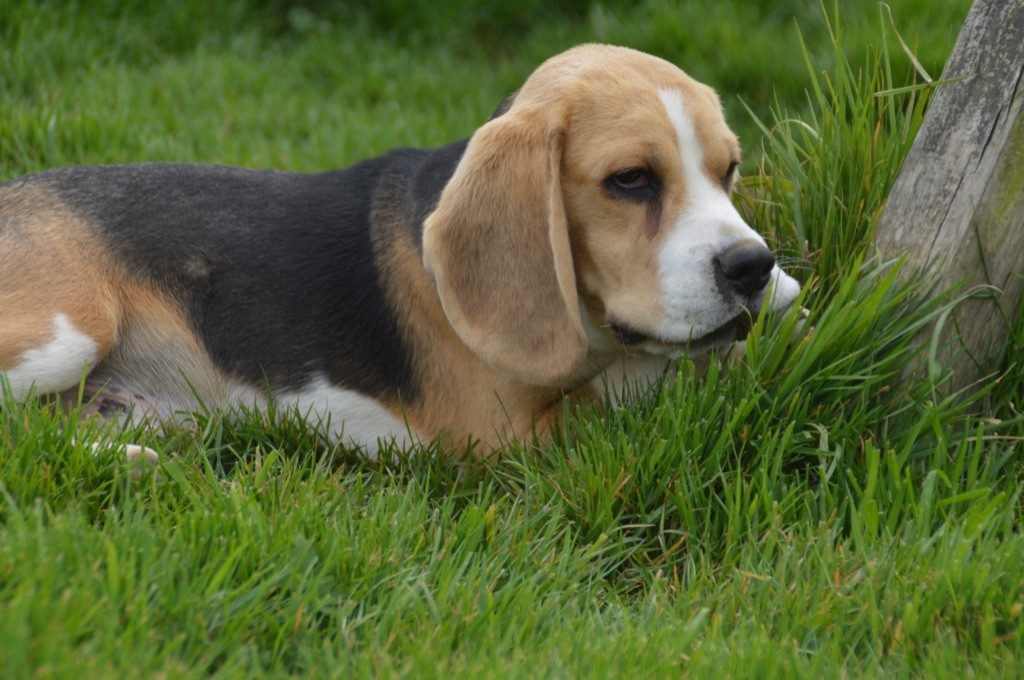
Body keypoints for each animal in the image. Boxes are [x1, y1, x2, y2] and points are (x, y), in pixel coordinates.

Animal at [0, 45, 798, 458]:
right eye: (629, 180)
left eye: (728, 171)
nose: (751, 267)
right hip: (69, 330)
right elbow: (652, 376)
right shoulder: (507, 433)